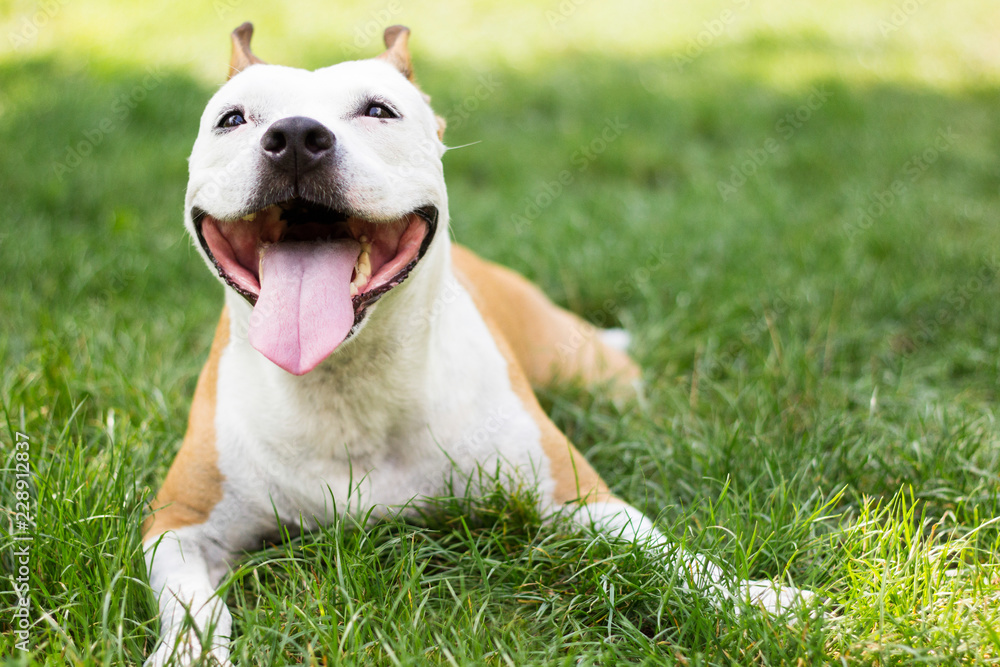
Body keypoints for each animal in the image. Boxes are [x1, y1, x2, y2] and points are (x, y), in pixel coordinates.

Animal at [141, 23, 812, 664]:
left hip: (587, 369)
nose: (298, 135)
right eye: (233, 119)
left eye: (379, 110)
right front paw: (187, 654)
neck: (352, 381)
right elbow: (193, 604)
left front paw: (757, 599)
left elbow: (672, 554)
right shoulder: (177, 523)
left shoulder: (580, 497)